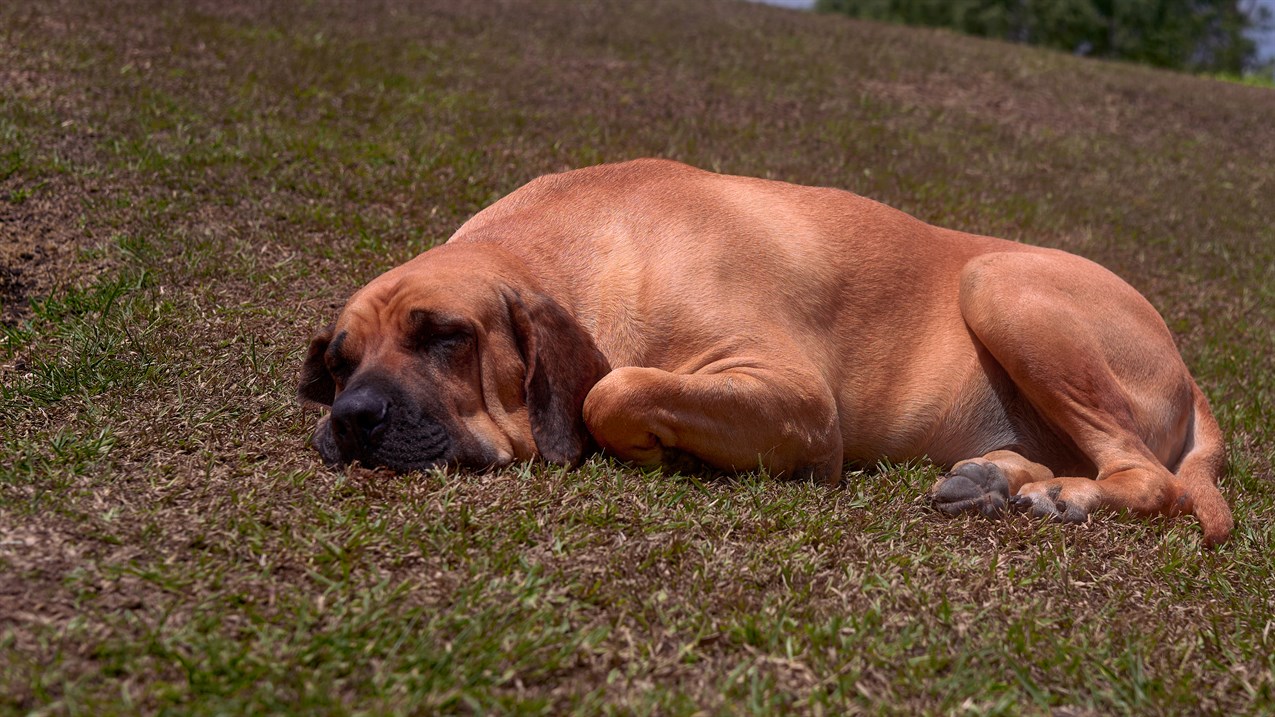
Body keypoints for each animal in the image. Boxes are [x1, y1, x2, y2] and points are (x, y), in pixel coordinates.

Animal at [300, 158, 1234, 543]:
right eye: (339, 362)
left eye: (445, 337)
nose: (352, 419)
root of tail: (1189, 371)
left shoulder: (795, 395)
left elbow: (612, 391)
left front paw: (663, 448)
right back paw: (998, 481)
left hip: (998, 282)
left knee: (1147, 477)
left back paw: (1061, 497)